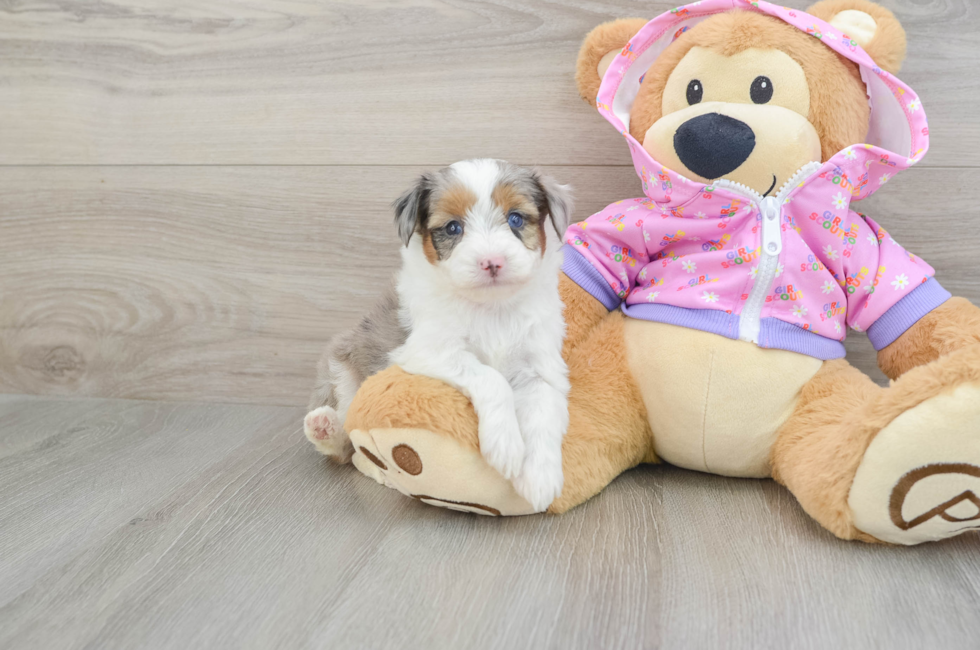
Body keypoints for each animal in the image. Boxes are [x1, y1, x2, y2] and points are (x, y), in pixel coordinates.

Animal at [306, 159, 576, 508]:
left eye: (515, 218)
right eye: (452, 228)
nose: (492, 262)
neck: (493, 308)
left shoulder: (540, 367)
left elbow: (543, 416)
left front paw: (540, 479)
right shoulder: (429, 349)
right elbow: (492, 379)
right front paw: (505, 445)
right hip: (340, 364)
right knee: (343, 445)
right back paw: (324, 427)